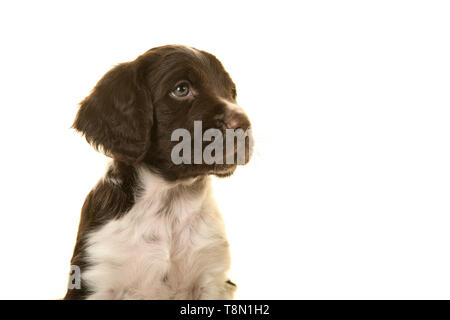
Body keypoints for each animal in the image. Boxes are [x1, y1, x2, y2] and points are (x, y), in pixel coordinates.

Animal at [63, 43, 253, 298]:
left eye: (231, 91)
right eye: (181, 89)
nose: (244, 124)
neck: (169, 203)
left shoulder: (212, 278)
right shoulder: (97, 276)